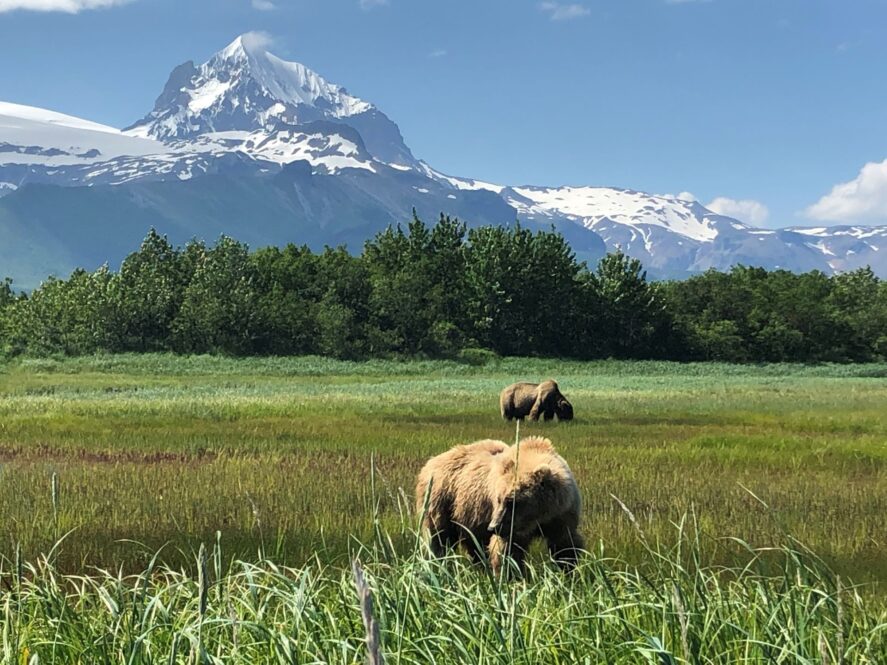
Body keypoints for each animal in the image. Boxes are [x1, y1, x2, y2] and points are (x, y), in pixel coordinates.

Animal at [415, 436, 584, 574]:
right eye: (498, 499)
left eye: (512, 501)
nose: (493, 527)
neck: (537, 518)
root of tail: (431, 462)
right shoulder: (511, 527)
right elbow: (506, 552)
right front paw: (513, 578)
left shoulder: (561, 515)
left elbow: (564, 546)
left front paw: (568, 574)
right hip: (442, 499)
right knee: (438, 538)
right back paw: (435, 566)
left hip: (469, 517)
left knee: (475, 545)